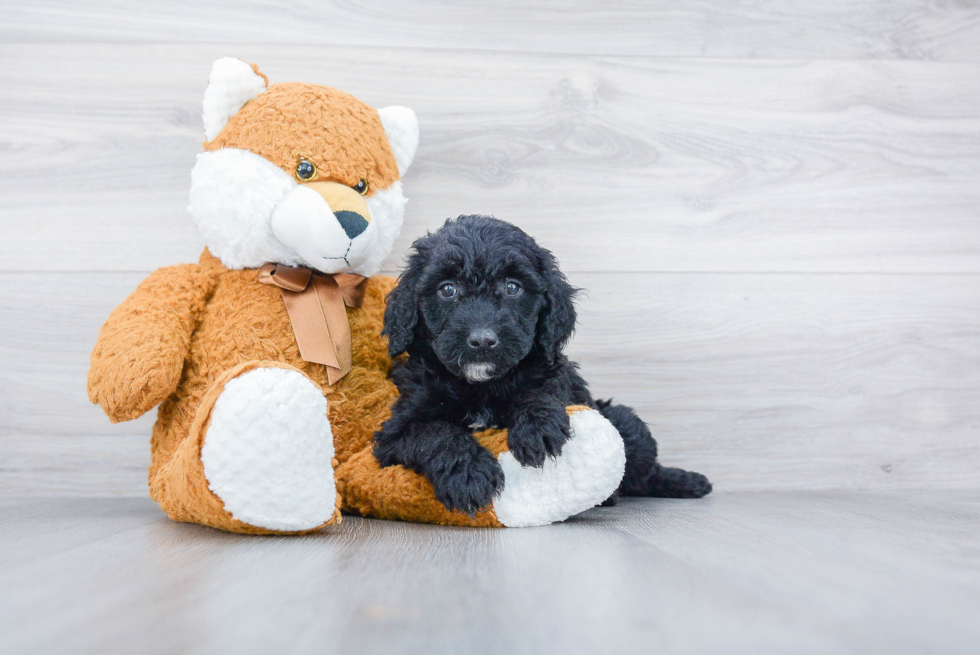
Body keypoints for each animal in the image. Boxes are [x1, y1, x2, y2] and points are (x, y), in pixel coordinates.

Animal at [376, 218, 712, 516]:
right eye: (447, 289)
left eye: (512, 287)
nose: (483, 340)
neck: (482, 386)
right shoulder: (393, 434)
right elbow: (435, 433)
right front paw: (470, 475)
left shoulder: (556, 380)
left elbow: (539, 392)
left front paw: (537, 428)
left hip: (625, 423)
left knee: (642, 475)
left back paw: (683, 481)